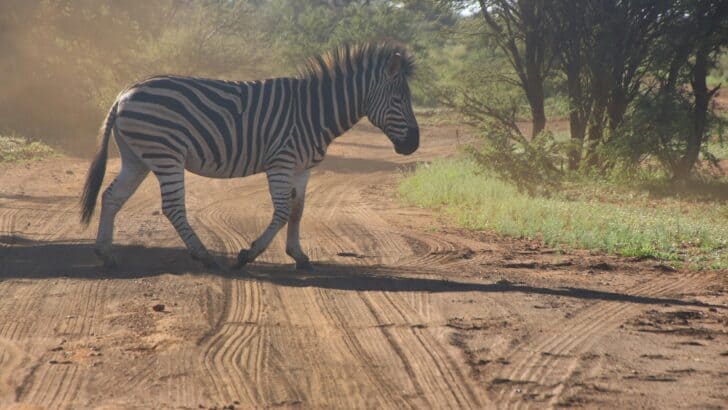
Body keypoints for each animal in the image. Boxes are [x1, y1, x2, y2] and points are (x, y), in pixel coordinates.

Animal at [80, 43, 419, 270]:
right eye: (399, 99)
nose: (414, 144)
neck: (314, 111)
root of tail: (124, 93)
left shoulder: (302, 168)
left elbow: (298, 210)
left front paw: (298, 255)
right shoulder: (281, 162)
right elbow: (282, 211)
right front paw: (249, 254)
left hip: (137, 157)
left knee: (111, 196)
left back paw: (105, 253)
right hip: (166, 155)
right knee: (173, 207)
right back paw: (204, 256)